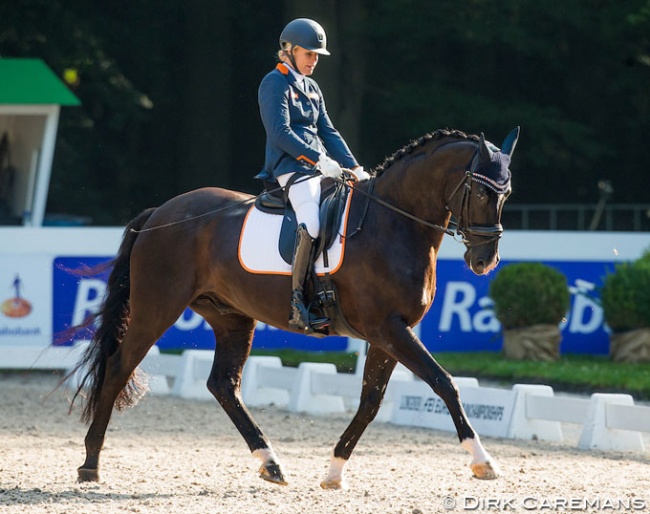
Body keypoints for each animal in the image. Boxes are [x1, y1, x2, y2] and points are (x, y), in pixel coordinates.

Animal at [69, 126, 516, 486]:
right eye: (480, 190)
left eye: (507, 193)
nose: (484, 261)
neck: (392, 224)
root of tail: (159, 212)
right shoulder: (388, 328)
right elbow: (444, 383)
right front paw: (483, 462)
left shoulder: (388, 333)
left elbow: (371, 402)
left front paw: (334, 471)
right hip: (157, 307)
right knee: (119, 367)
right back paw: (91, 464)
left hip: (231, 316)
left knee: (222, 384)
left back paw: (271, 464)